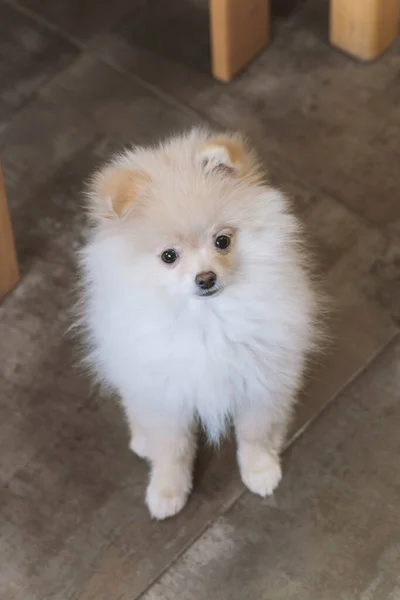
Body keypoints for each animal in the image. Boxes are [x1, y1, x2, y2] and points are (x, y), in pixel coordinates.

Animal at [79, 129, 320, 516]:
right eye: (169, 256)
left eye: (222, 241)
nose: (205, 278)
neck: (208, 318)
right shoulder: (166, 393)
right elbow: (172, 449)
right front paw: (167, 492)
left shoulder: (261, 378)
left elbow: (255, 432)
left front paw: (260, 470)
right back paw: (141, 439)